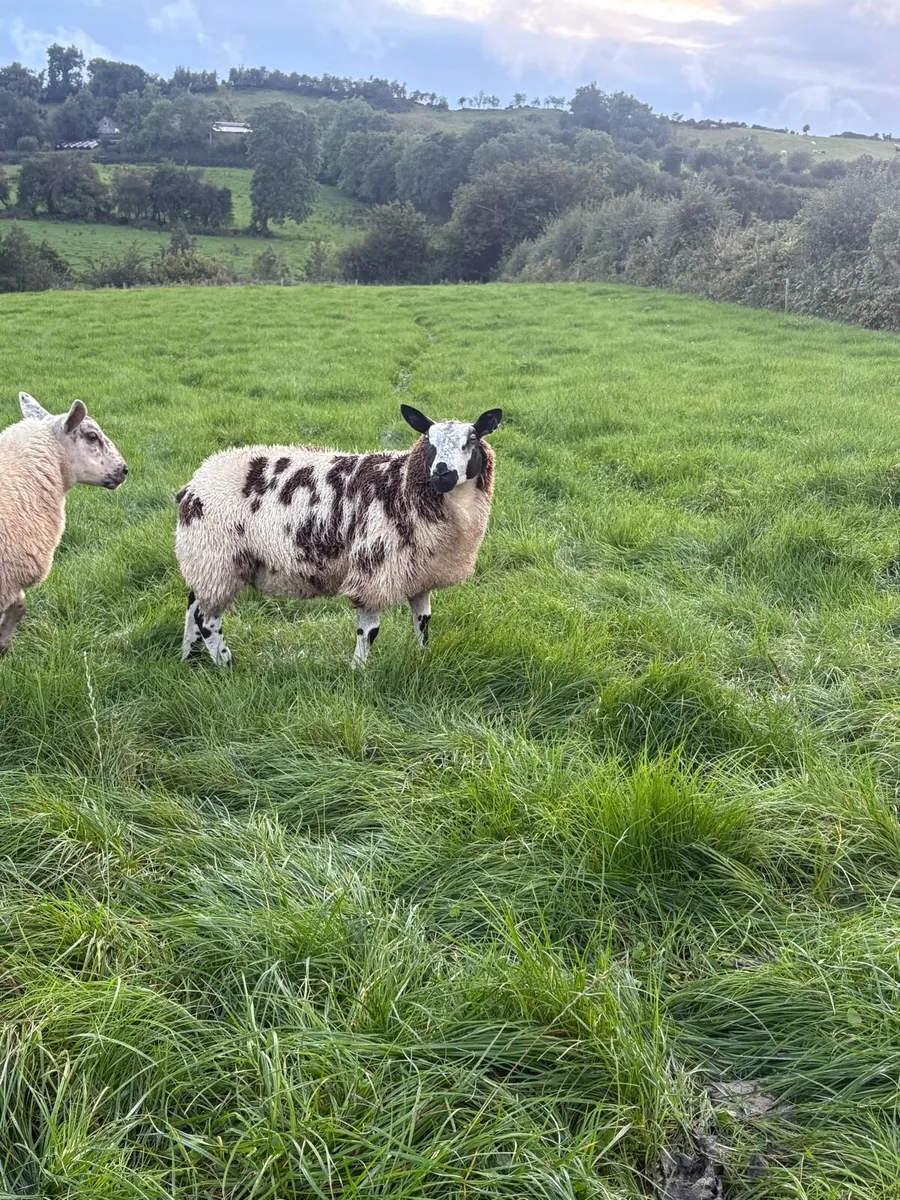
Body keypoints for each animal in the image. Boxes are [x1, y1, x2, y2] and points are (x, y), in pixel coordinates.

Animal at [174, 403, 502, 667]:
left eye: (472, 439)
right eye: (428, 440)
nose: (442, 474)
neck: (402, 485)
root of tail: (195, 481)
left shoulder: (421, 574)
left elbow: (422, 621)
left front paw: (423, 657)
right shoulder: (372, 569)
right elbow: (369, 630)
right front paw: (358, 670)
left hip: (207, 561)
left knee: (193, 604)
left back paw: (189, 656)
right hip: (217, 557)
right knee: (207, 619)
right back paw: (225, 663)